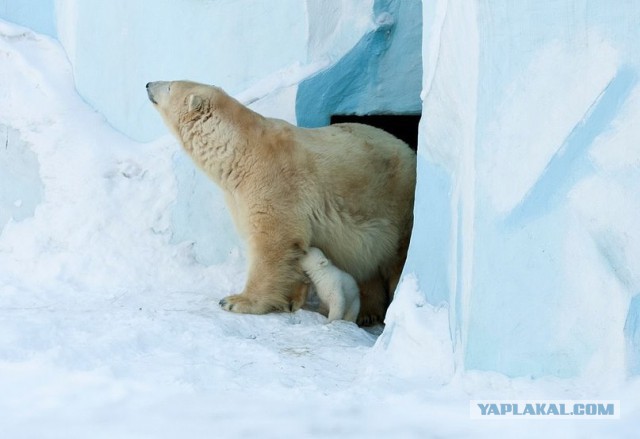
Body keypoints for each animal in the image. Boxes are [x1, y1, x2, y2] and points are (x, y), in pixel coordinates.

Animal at [146, 81, 416, 324]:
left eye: (170, 86)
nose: (148, 84)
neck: (241, 151)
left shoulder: (274, 182)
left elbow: (272, 240)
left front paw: (236, 301)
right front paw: (291, 301)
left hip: (397, 202)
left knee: (397, 256)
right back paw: (368, 312)